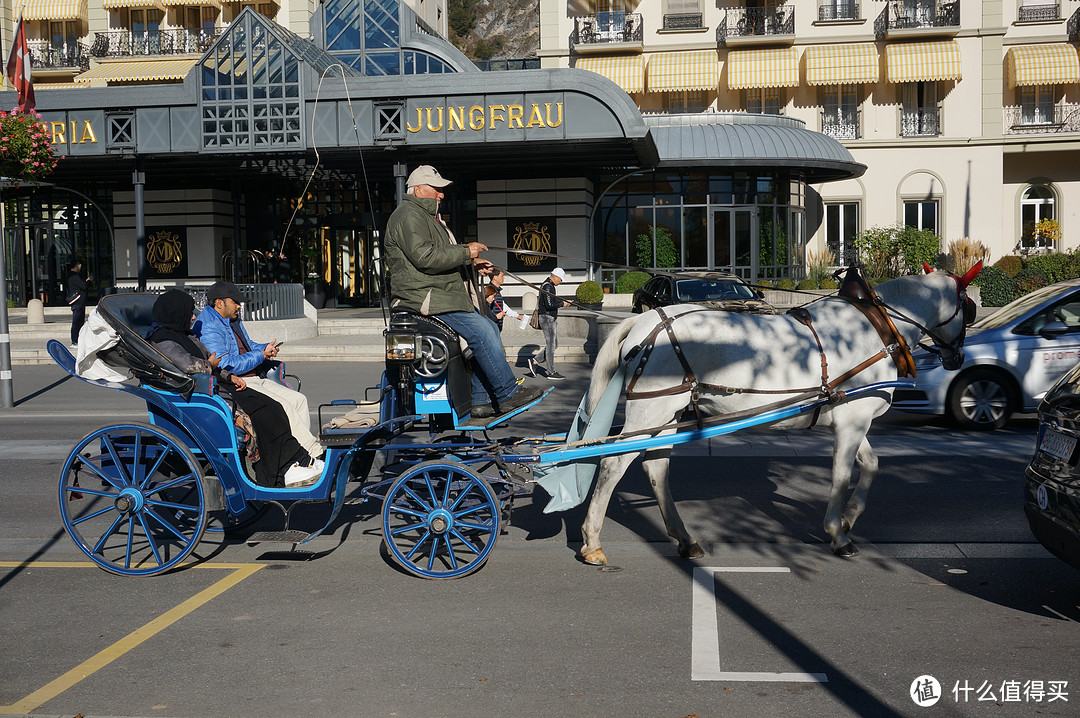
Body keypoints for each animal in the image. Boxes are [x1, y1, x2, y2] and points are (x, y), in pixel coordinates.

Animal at [583, 265, 980, 561]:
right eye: (969, 309)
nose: (957, 357)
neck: (875, 325)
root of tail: (644, 321)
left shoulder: (851, 417)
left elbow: (871, 465)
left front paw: (849, 518)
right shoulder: (852, 422)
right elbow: (840, 476)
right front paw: (838, 534)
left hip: (669, 413)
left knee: (656, 466)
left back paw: (685, 539)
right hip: (652, 409)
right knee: (613, 463)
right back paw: (592, 541)